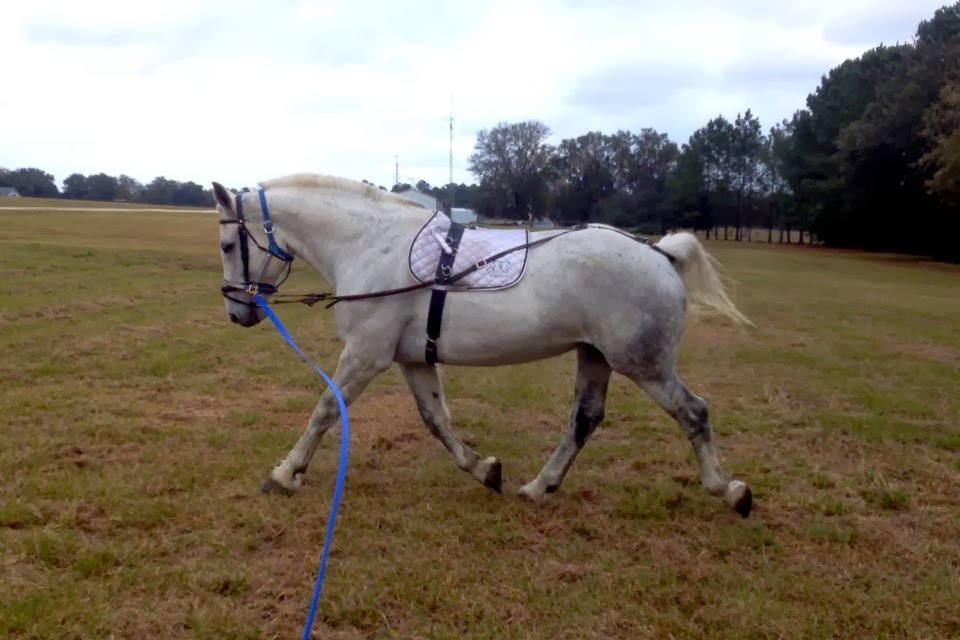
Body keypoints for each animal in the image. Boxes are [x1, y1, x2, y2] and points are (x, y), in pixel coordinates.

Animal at [213, 172, 755, 518]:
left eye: (226, 245)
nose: (237, 312)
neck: (372, 244)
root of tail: (658, 253)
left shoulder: (366, 355)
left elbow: (326, 409)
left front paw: (285, 474)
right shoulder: (412, 359)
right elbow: (435, 420)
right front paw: (484, 470)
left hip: (642, 364)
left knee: (693, 413)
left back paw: (730, 492)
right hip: (595, 357)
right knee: (584, 421)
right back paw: (538, 487)